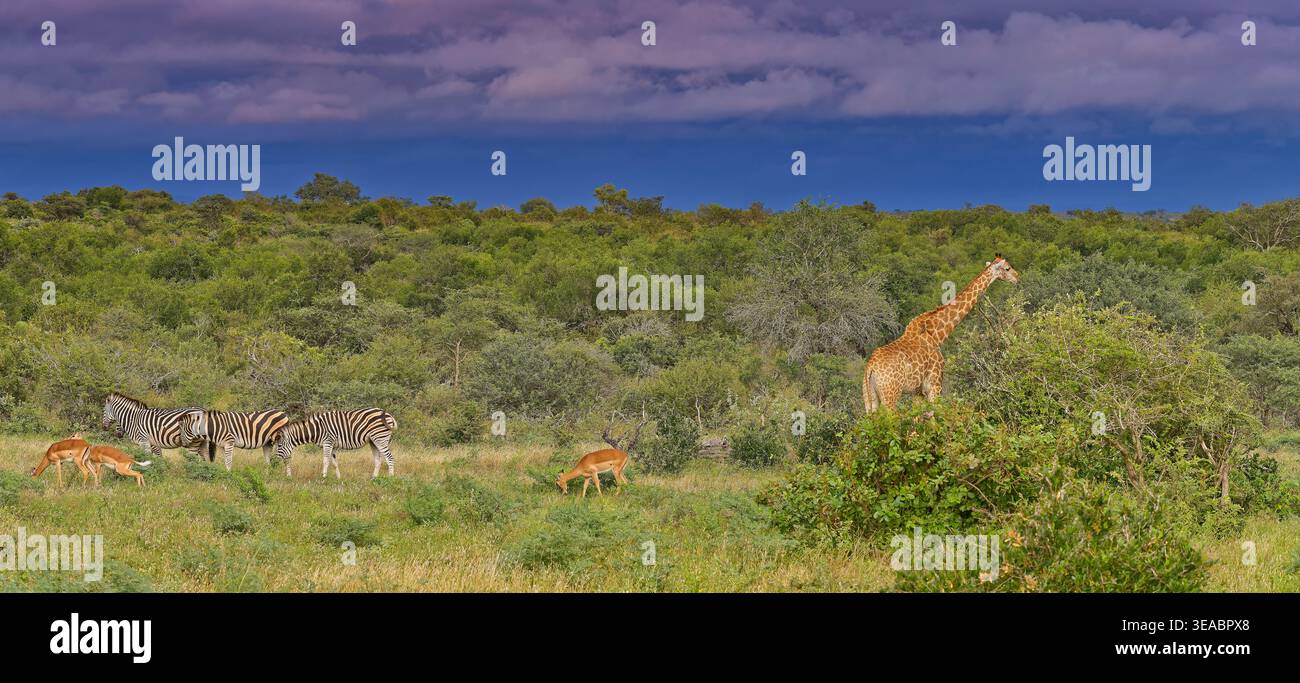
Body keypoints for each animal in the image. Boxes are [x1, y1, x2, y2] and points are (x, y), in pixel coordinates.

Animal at [863, 255, 1020, 413]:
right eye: (1007, 268)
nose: (1017, 277)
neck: (937, 335)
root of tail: (870, 367)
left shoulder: (917, 391)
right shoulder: (935, 384)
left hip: (870, 399)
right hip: (890, 395)